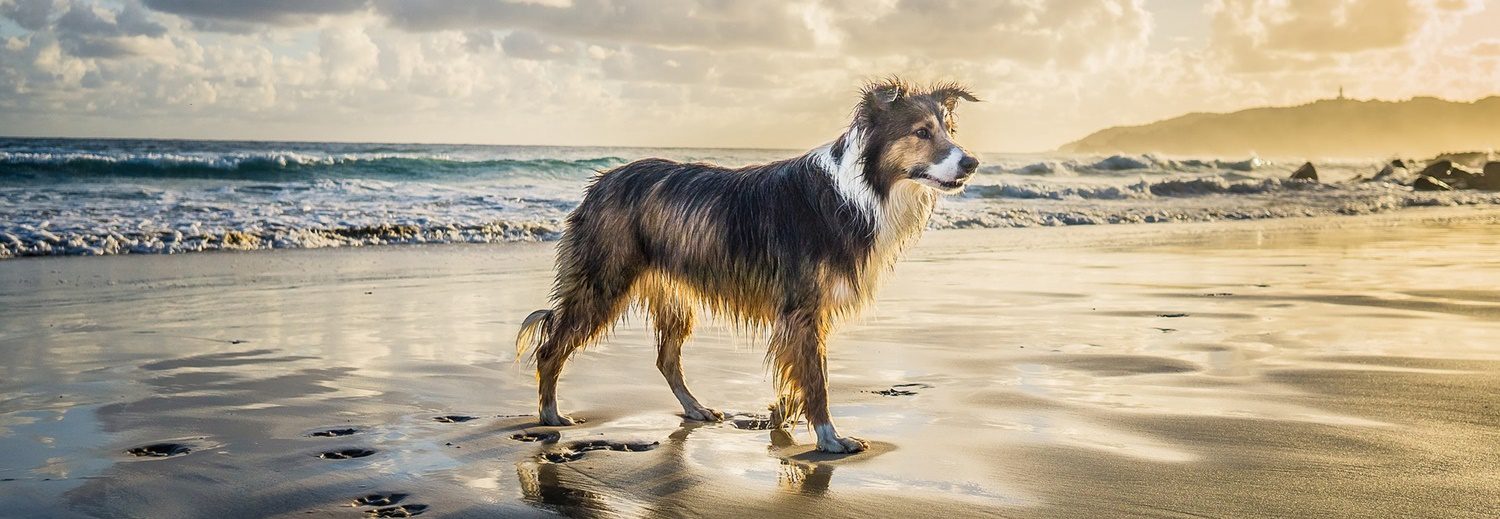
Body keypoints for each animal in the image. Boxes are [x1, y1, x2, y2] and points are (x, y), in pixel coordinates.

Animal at [519, 78, 984, 453]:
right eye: (921, 132)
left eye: (948, 130)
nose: (972, 163)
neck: (859, 191)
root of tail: (601, 183)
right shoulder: (802, 308)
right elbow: (816, 378)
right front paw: (830, 438)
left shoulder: (805, 314)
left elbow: (801, 372)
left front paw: (781, 415)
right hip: (603, 281)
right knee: (551, 346)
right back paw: (551, 415)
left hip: (673, 295)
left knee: (666, 360)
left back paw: (696, 410)